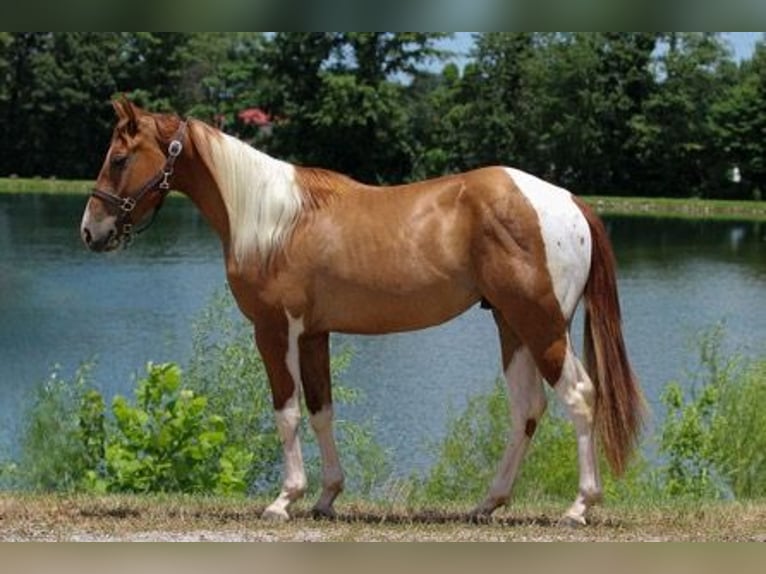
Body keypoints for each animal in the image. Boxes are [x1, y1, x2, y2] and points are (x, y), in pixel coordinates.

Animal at [80, 97, 643, 525]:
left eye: (119, 158)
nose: (91, 230)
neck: (271, 219)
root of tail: (568, 200)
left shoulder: (274, 332)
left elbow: (285, 412)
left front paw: (284, 499)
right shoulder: (313, 335)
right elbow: (321, 410)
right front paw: (326, 497)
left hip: (542, 325)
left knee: (578, 396)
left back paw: (578, 507)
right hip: (512, 324)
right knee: (527, 409)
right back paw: (487, 504)